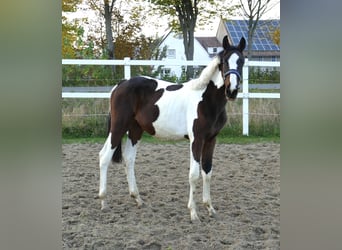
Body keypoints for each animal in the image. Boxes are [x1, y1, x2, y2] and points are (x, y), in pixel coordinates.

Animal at [99, 35, 246, 221]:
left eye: (241, 61)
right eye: (224, 62)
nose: (231, 90)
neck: (206, 100)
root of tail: (121, 84)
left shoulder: (211, 140)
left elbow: (207, 172)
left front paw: (210, 208)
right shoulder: (196, 140)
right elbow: (194, 175)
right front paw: (193, 213)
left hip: (135, 130)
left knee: (129, 159)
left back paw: (137, 199)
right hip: (118, 127)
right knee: (104, 156)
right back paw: (103, 202)